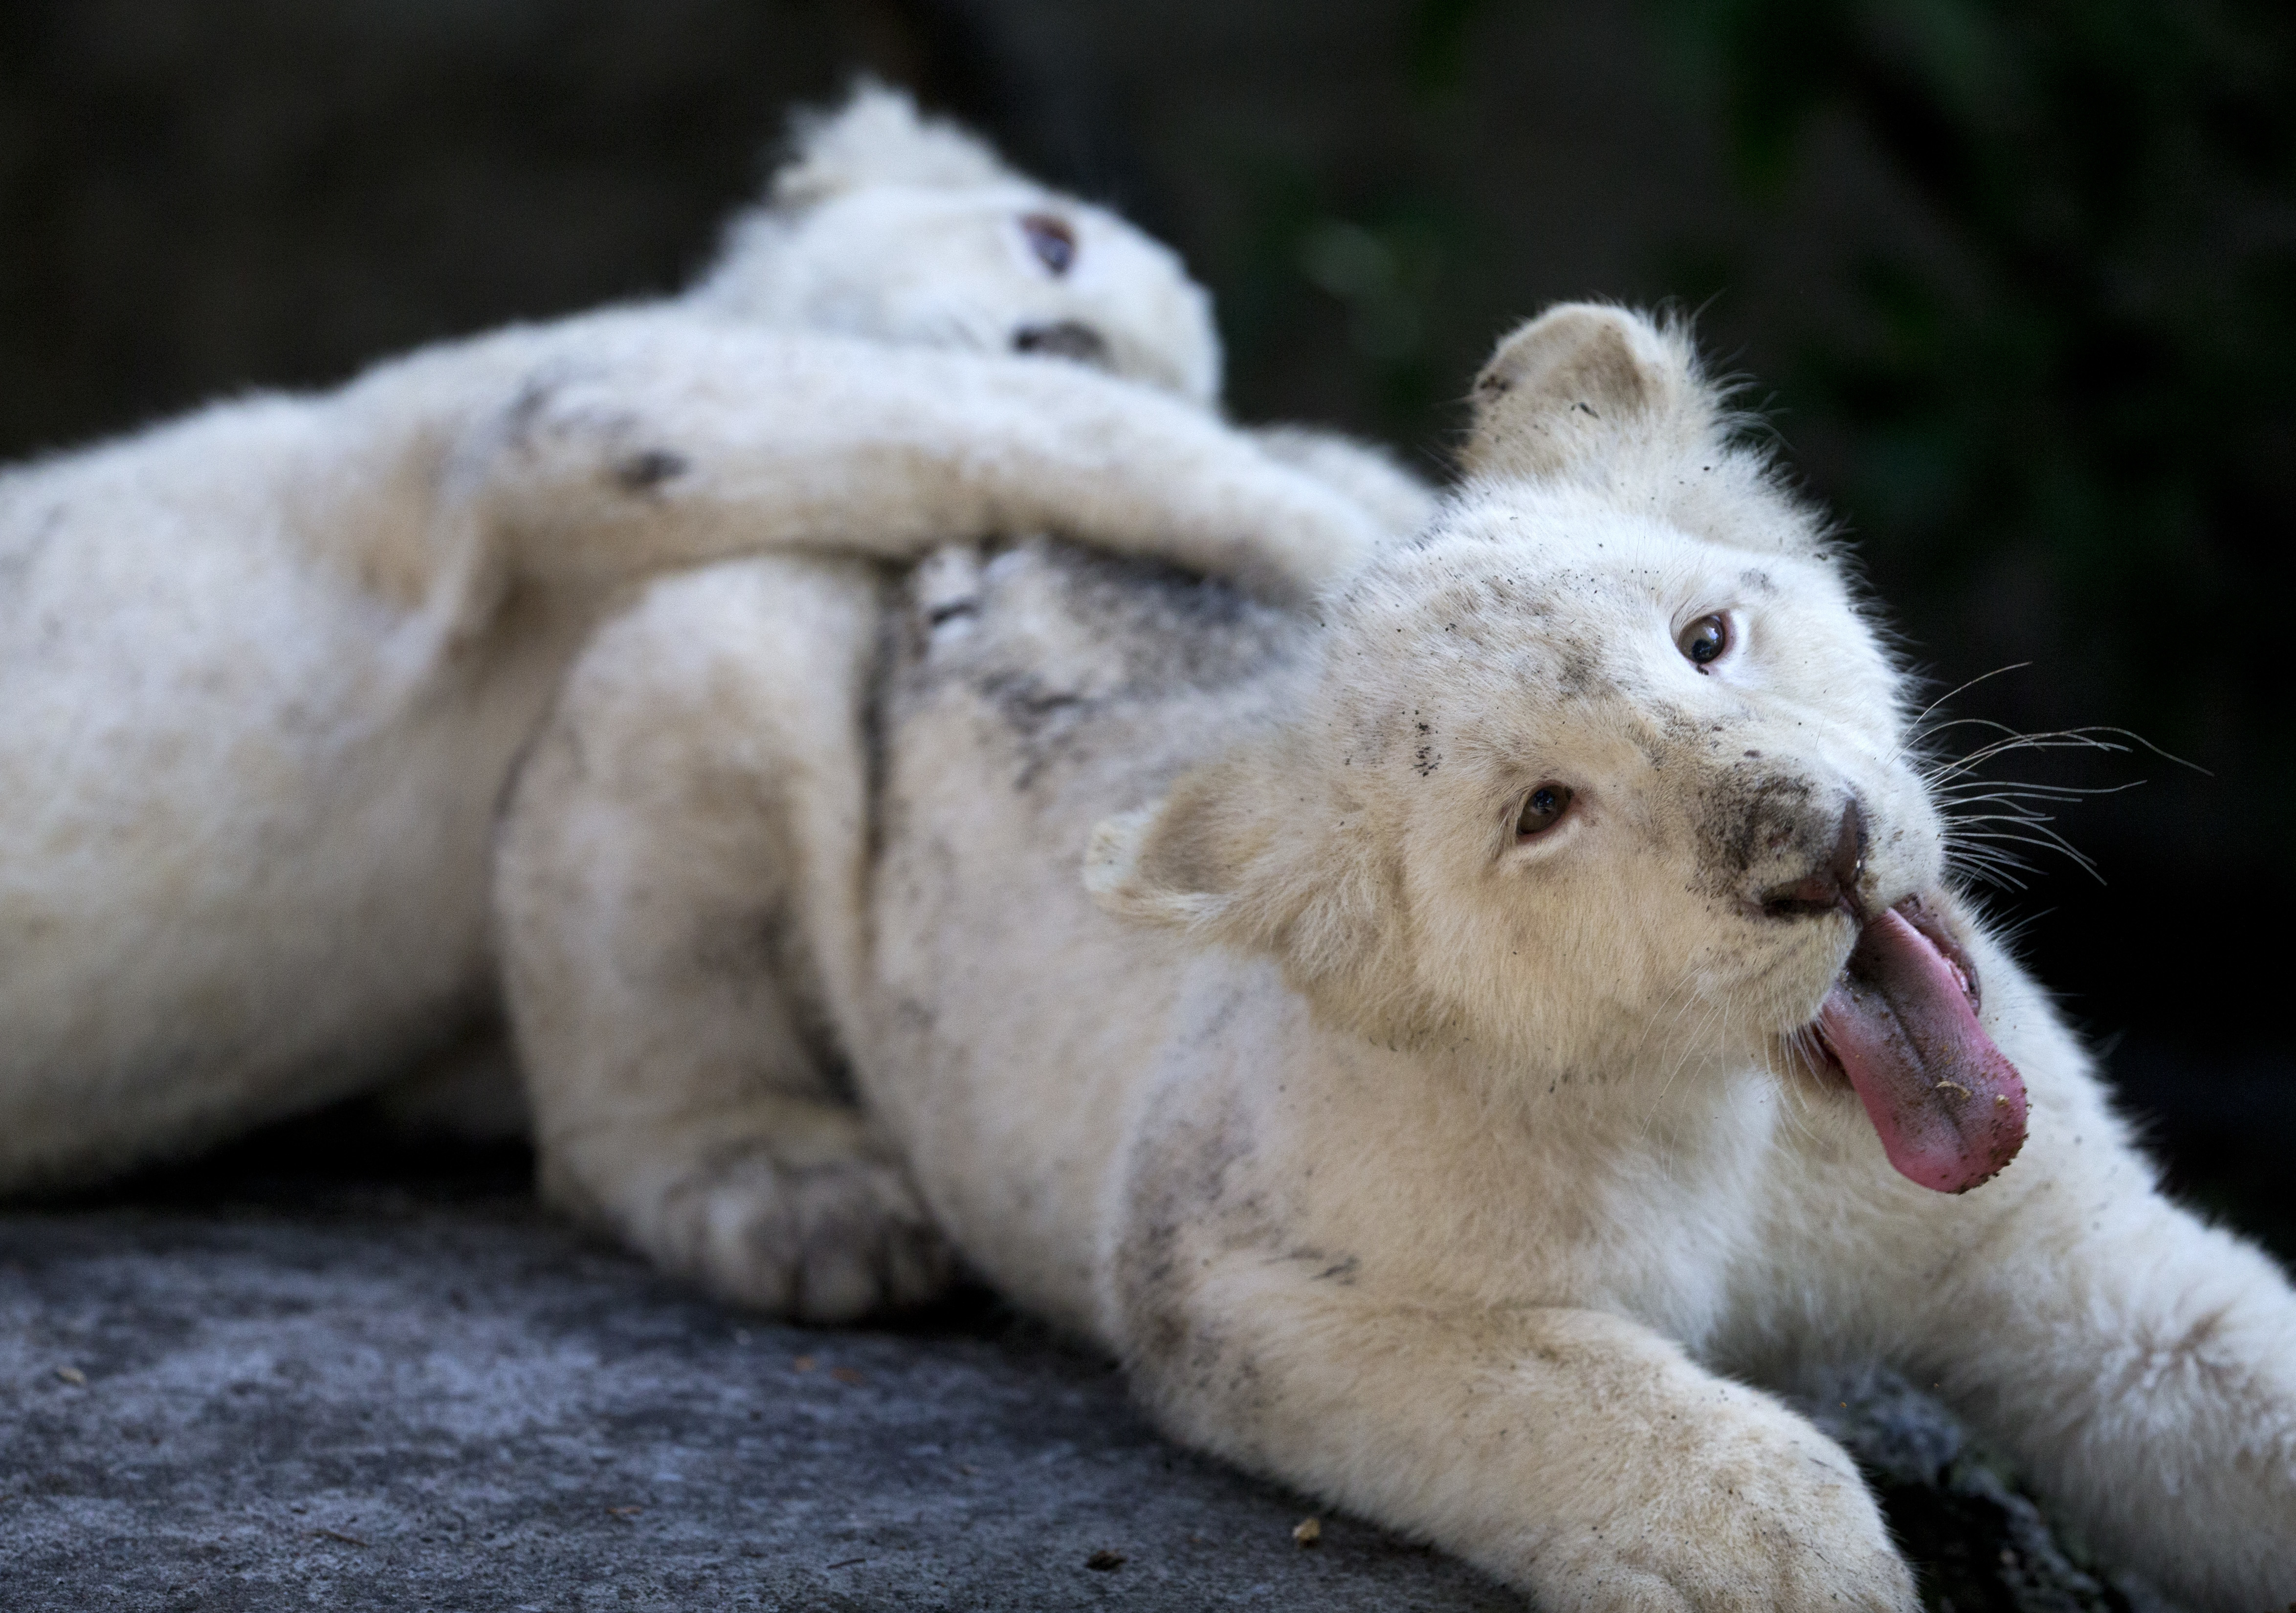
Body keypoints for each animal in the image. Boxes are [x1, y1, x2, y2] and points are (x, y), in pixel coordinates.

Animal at [497, 304, 2295, 1608]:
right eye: (1541, 810)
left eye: (1706, 636)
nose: (1819, 845)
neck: (1735, 1110)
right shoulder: (1226, 1273)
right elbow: (1612, 1407)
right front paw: (1807, 1565)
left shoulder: (2075, 1260)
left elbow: (2239, 1377)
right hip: (714, 650)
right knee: (611, 1079)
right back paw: (810, 1211)